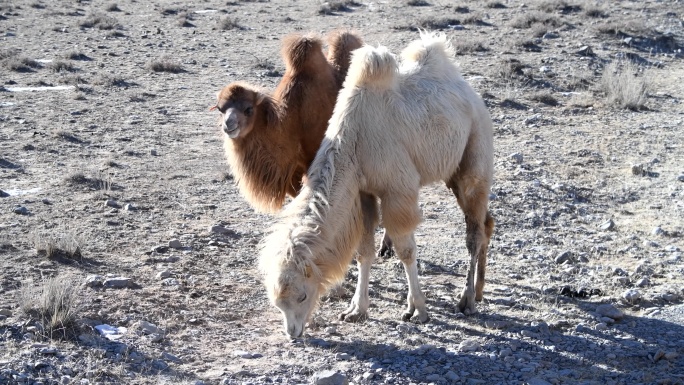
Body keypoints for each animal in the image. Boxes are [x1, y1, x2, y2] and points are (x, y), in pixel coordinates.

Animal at [260, 33, 492, 340]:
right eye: (276, 302)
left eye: (301, 296)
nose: (293, 332)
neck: (354, 142)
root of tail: (469, 91)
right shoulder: (363, 192)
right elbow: (363, 252)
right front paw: (356, 309)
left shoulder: (397, 189)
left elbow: (406, 251)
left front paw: (418, 309)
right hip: (453, 170)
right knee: (487, 222)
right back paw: (478, 292)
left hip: (475, 151)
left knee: (474, 232)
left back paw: (467, 301)